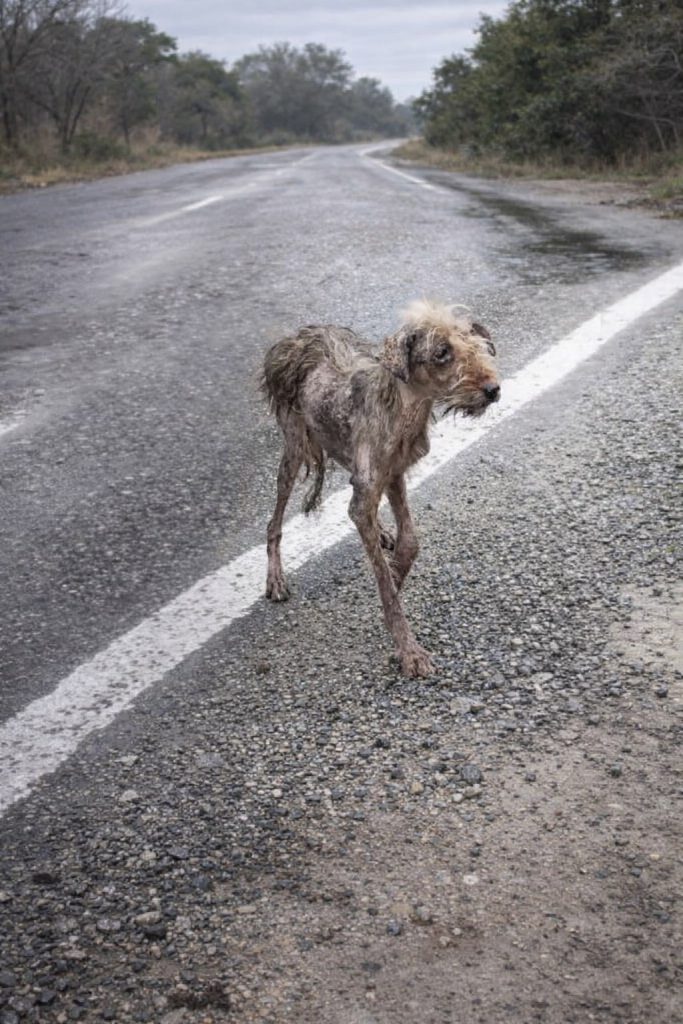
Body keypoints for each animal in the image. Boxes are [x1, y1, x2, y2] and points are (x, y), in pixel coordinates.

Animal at [260, 300, 500, 677]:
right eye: (442, 352)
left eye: (476, 343)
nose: (493, 389)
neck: (402, 406)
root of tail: (297, 336)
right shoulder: (369, 489)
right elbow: (384, 579)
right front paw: (408, 648)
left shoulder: (393, 474)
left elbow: (410, 543)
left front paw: (397, 570)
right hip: (295, 447)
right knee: (274, 523)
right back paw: (275, 578)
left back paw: (383, 531)